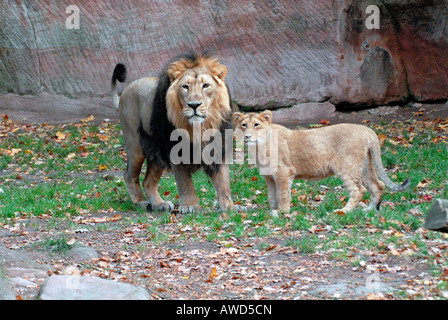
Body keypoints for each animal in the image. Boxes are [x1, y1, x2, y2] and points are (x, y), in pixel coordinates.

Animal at [111, 52, 236, 214]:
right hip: (135, 146)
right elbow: (185, 183)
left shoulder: (219, 148)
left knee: (148, 182)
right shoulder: (176, 151)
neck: (199, 127)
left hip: (157, 155)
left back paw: (159, 204)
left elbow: (223, 181)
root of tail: (125, 91)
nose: (194, 105)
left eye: (206, 85)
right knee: (129, 176)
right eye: (185, 87)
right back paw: (142, 202)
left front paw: (228, 206)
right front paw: (189, 206)